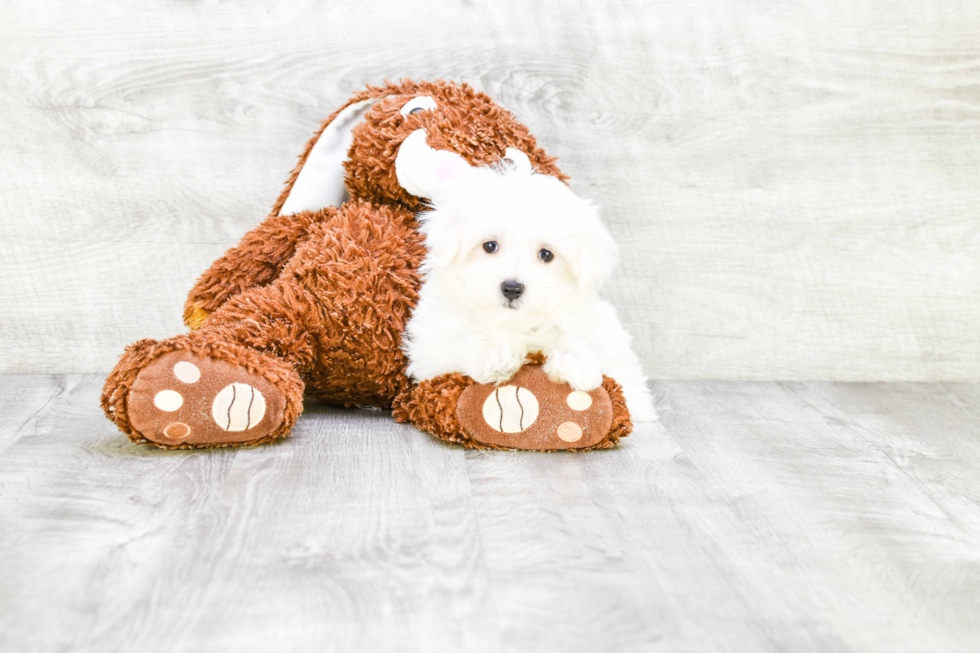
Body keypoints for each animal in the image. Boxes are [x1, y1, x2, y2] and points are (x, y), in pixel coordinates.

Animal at [398, 155, 660, 420]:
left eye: (546, 255)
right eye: (490, 246)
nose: (512, 288)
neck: (516, 324)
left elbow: (575, 338)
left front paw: (576, 364)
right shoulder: (430, 351)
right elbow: (458, 343)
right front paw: (494, 355)